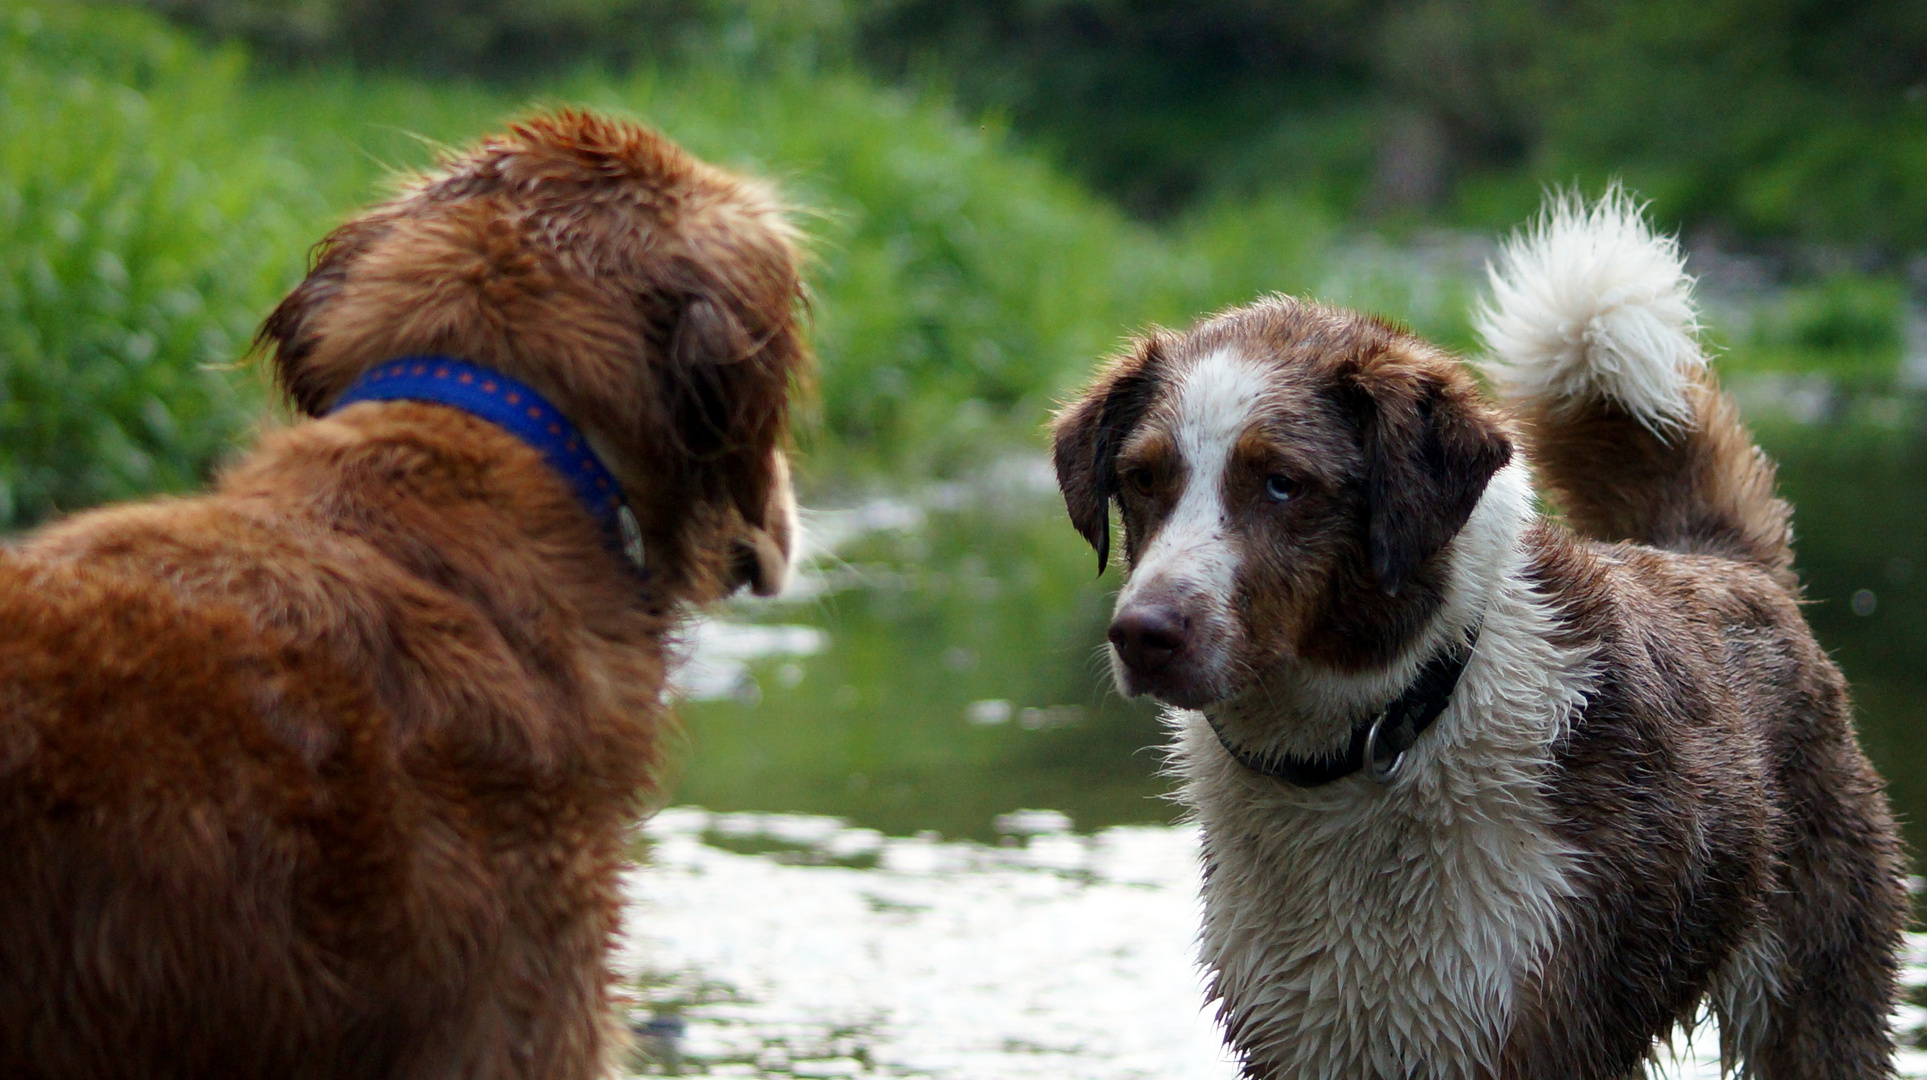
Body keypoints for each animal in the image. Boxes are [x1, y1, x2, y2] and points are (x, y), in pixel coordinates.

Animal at [1055, 193, 1911, 1080]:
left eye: (1282, 484)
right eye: (1141, 479)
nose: (1142, 634)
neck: (1378, 734)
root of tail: (1718, 559)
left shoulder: (1533, 1029)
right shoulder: (1302, 1037)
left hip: (1812, 990)